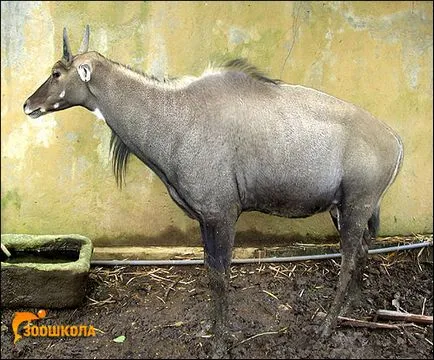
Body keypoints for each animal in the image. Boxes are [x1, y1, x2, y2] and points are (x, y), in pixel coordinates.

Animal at [22, 26, 404, 354]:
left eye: (56, 73)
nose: (28, 105)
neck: (174, 116)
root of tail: (395, 140)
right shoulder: (205, 219)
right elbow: (209, 271)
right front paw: (211, 329)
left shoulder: (221, 214)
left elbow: (221, 276)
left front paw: (222, 342)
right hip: (343, 209)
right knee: (362, 250)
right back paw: (355, 306)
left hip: (356, 205)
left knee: (349, 258)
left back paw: (327, 326)